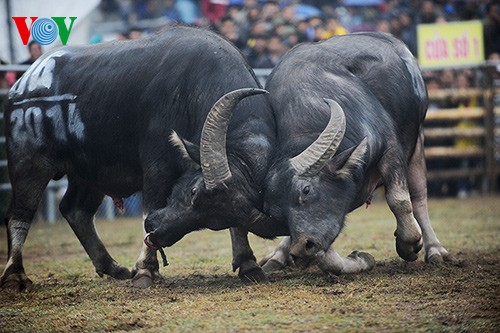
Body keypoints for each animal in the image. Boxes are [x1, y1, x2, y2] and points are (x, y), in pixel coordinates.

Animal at [0, 26, 274, 290]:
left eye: (213, 221)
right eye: (194, 191)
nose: (158, 232)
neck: (191, 91)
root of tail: (22, 83)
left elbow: (238, 227)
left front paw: (249, 264)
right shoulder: (156, 167)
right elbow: (148, 207)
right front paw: (145, 270)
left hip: (88, 172)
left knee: (75, 210)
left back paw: (111, 266)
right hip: (28, 162)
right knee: (19, 214)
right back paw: (14, 276)